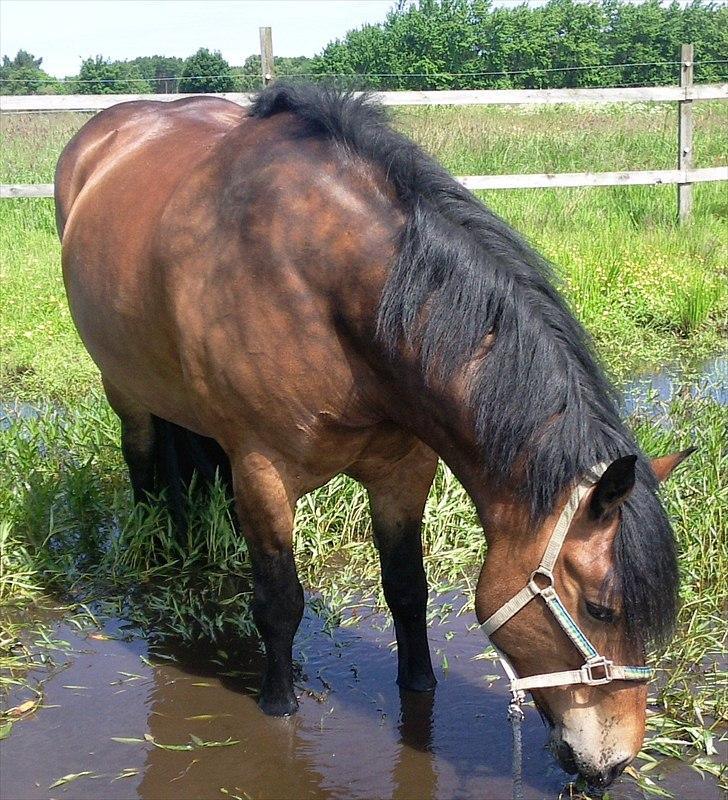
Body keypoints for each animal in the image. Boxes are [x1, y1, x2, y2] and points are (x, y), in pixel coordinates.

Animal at [54, 83, 692, 788]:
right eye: (602, 610)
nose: (613, 763)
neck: (325, 286)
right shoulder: (261, 472)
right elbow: (280, 601)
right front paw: (277, 705)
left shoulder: (403, 470)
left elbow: (408, 590)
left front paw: (419, 685)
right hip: (125, 387)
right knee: (141, 459)